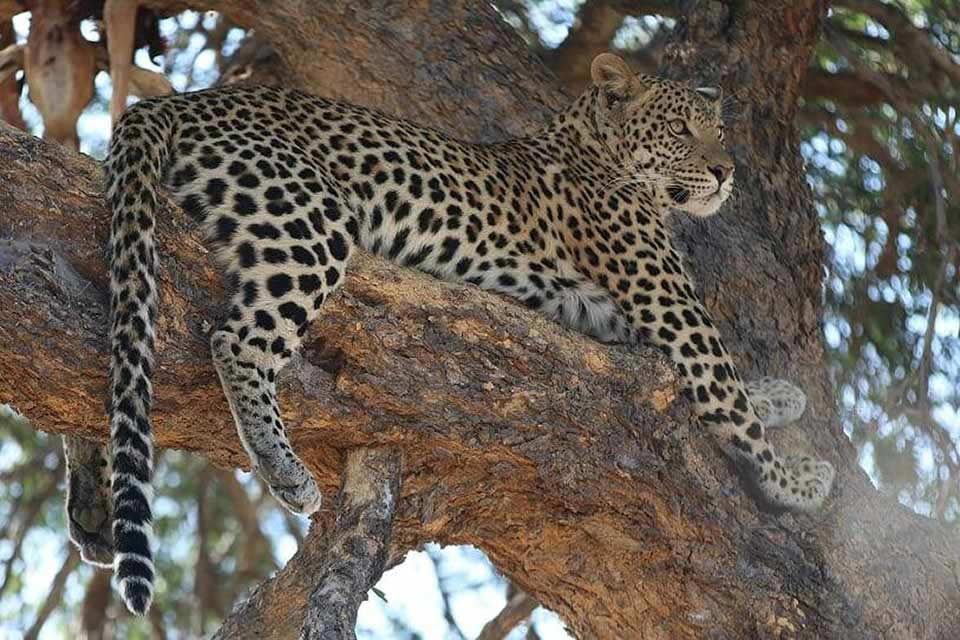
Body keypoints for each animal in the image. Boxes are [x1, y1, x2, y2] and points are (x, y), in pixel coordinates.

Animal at [69, 53, 832, 616]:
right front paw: (794, 482)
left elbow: (734, 389)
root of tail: (174, 102)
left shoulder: (612, 316)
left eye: (719, 131)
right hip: (310, 220)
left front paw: (782, 397)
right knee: (238, 339)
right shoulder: (671, 308)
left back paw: (91, 508)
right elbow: (727, 395)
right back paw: (285, 470)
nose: (726, 170)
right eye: (681, 131)